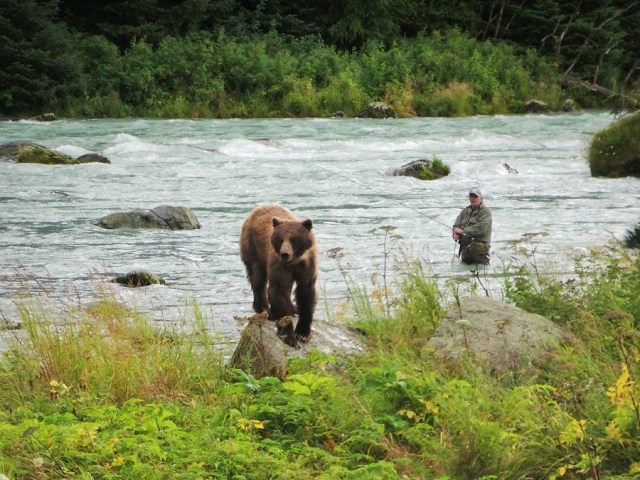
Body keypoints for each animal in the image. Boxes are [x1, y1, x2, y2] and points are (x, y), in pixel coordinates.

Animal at [240, 204, 318, 348]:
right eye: (280, 239)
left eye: (294, 239)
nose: (284, 253)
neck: (295, 261)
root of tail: (257, 209)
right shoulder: (278, 265)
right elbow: (279, 289)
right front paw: (289, 336)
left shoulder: (307, 266)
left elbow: (306, 292)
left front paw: (302, 333)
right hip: (253, 248)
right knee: (257, 278)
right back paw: (265, 310)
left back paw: (293, 308)